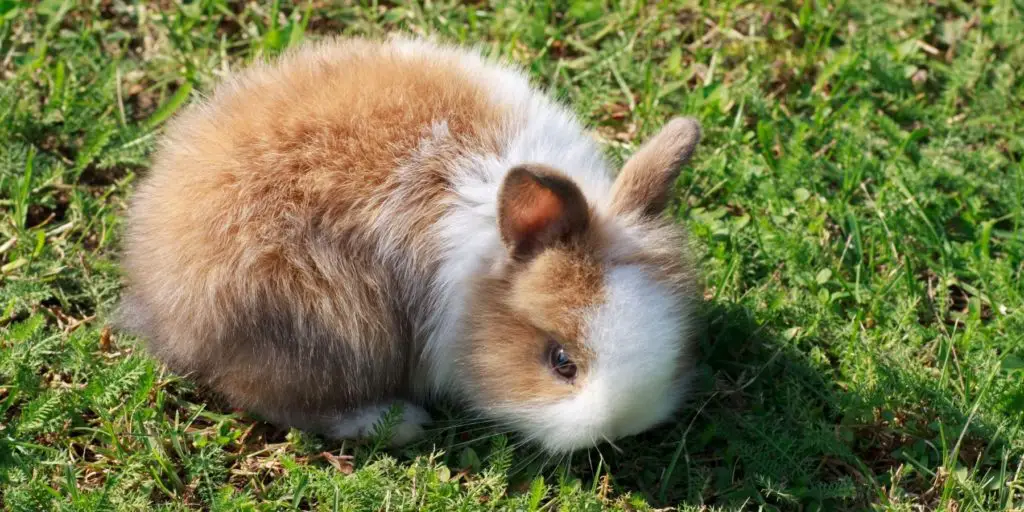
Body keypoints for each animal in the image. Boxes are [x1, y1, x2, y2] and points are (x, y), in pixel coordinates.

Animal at [116, 35, 700, 452]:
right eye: (561, 362)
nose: (621, 429)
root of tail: (157, 286)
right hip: (323, 320)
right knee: (273, 398)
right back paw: (396, 423)